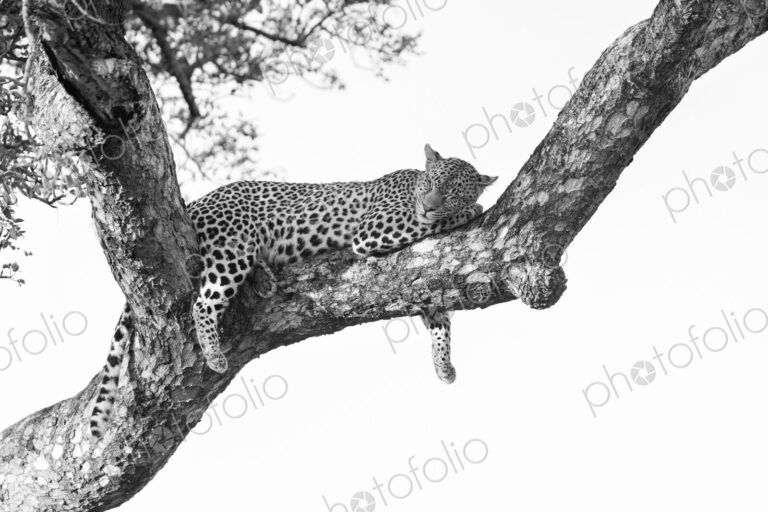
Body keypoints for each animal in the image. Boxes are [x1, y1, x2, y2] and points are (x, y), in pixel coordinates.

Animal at [89, 144, 497, 438]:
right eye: (431, 186)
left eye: (451, 191)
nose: (429, 207)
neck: (411, 186)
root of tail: (197, 203)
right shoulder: (373, 229)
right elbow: (438, 224)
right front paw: (475, 208)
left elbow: (439, 319)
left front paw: (443, 365)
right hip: (232, 245)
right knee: (203, 302)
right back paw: (214, 353)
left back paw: (264, 278)